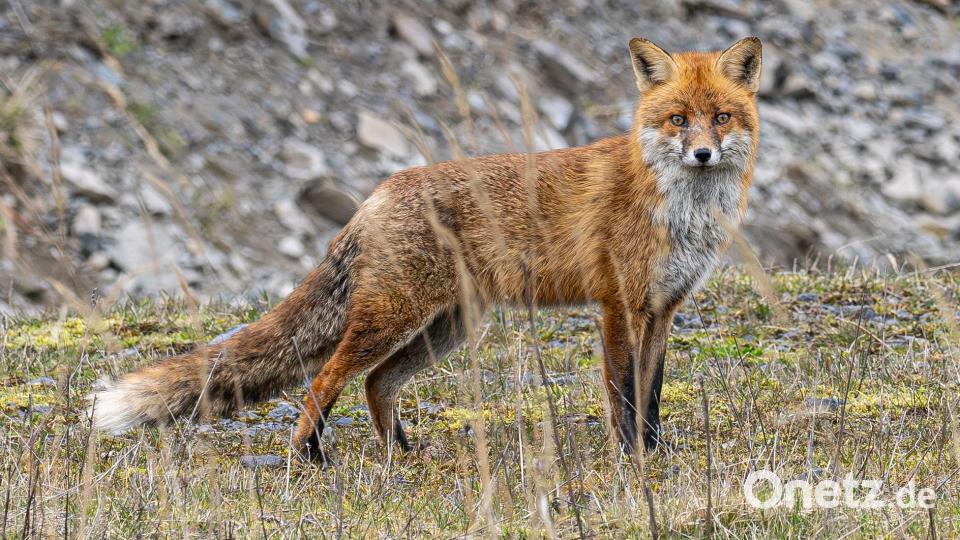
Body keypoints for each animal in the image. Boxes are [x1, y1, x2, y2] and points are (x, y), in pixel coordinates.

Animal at [92, 37, 762, 460]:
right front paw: (630, 459)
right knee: (326, 378)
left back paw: (401, 453)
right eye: (678, 119)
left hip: (448, 327)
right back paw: (310, 456)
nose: (703, 154)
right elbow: (623, 396)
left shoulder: (663, 310)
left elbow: (651, 395)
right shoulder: (618, 307)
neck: (679, 209)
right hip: (393, 318)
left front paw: (655, 452)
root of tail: (376, 193)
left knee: (375, 384)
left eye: (722, 118)